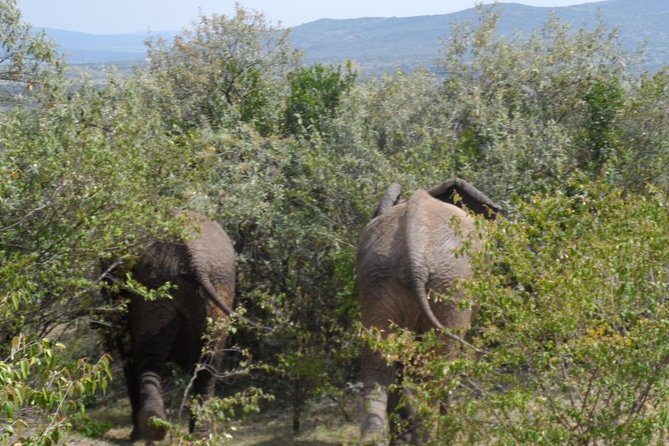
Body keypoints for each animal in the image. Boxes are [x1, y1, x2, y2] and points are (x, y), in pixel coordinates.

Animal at [103, 212, 236, 442]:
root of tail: (195, 258)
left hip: (155, 286)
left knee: (149, 361)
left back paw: (148, 430)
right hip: (215, 286)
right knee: (207, 365)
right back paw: (196, 435)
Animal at [358, 179, 498, 446]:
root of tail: (414, 259)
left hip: (377, 278)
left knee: (379, 360)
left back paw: (377, 438)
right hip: (451, 282)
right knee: (440, 363)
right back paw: (444, 433)